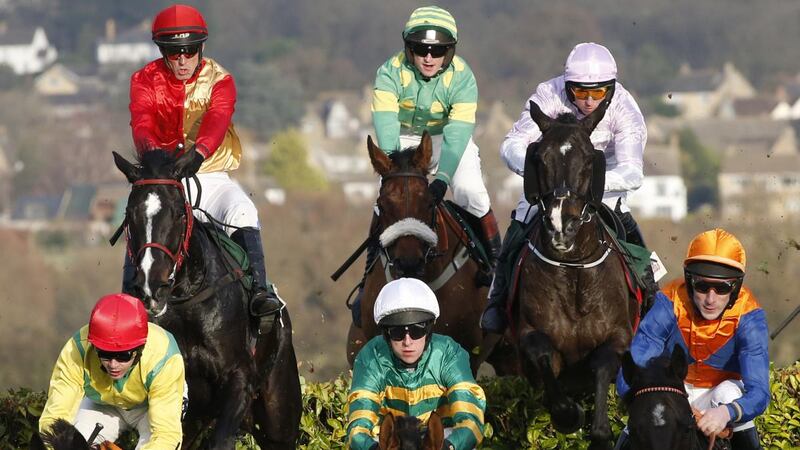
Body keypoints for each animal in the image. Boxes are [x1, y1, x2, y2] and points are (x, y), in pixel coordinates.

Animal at [112, 149, 300, 448]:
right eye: (130, 215)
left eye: (179, 213)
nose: (152, 286)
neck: (188, 303)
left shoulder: (239, 377)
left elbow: (221, 440)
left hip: (279, 415)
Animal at [512, 100, 636, 448]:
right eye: (540, 158)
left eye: (589, 158)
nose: (560, 226)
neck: (574, 272)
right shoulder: (529, 334)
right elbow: (543, 355)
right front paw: (570, 414)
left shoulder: (619, 336)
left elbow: (602, 364)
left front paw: (601, 430)